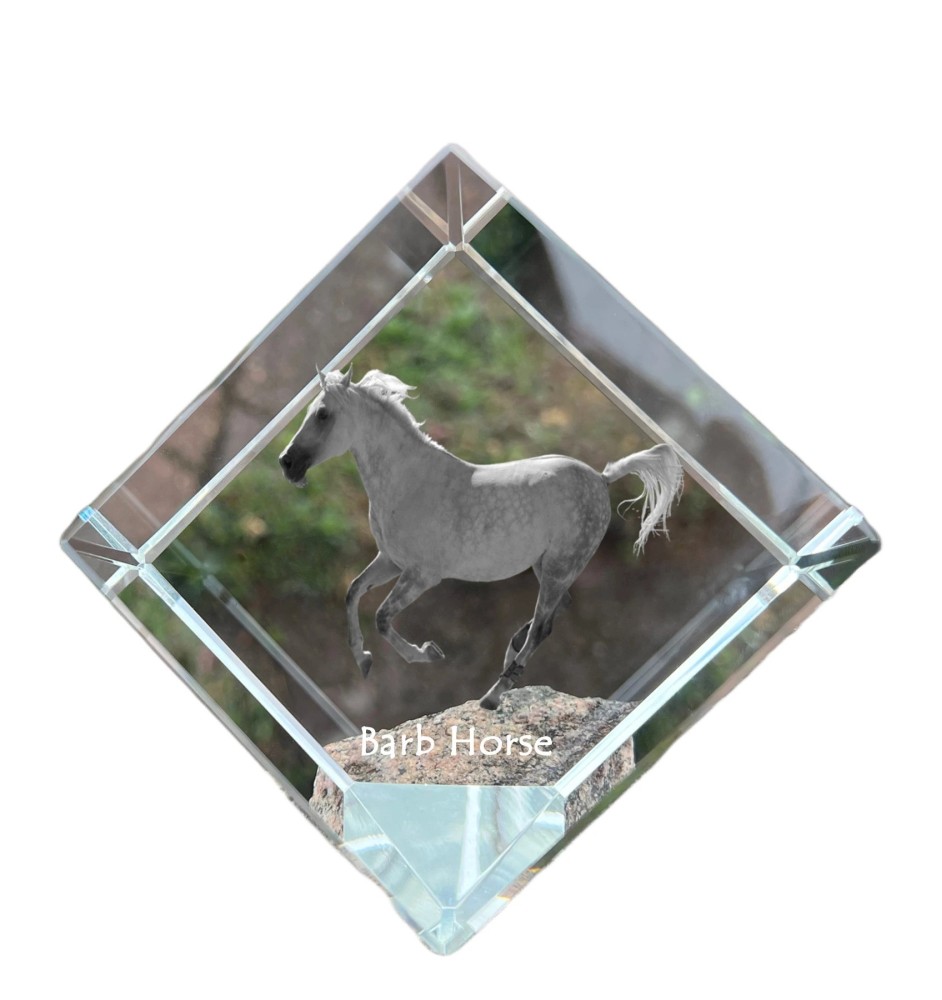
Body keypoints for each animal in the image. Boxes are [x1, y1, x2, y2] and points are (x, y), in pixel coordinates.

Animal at [279, 368, 683, 710]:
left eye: (322, 414)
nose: (286, 463)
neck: (410, 481)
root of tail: (602, 478)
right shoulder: (390, 560)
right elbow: (352, 593)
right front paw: (363, 661)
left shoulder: (422, 575)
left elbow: (381, 617)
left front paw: (428, 652)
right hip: (548, 568)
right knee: (554, 614)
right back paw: (511, 654)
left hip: (559, 567)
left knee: (542, 628)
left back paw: (494, 694)